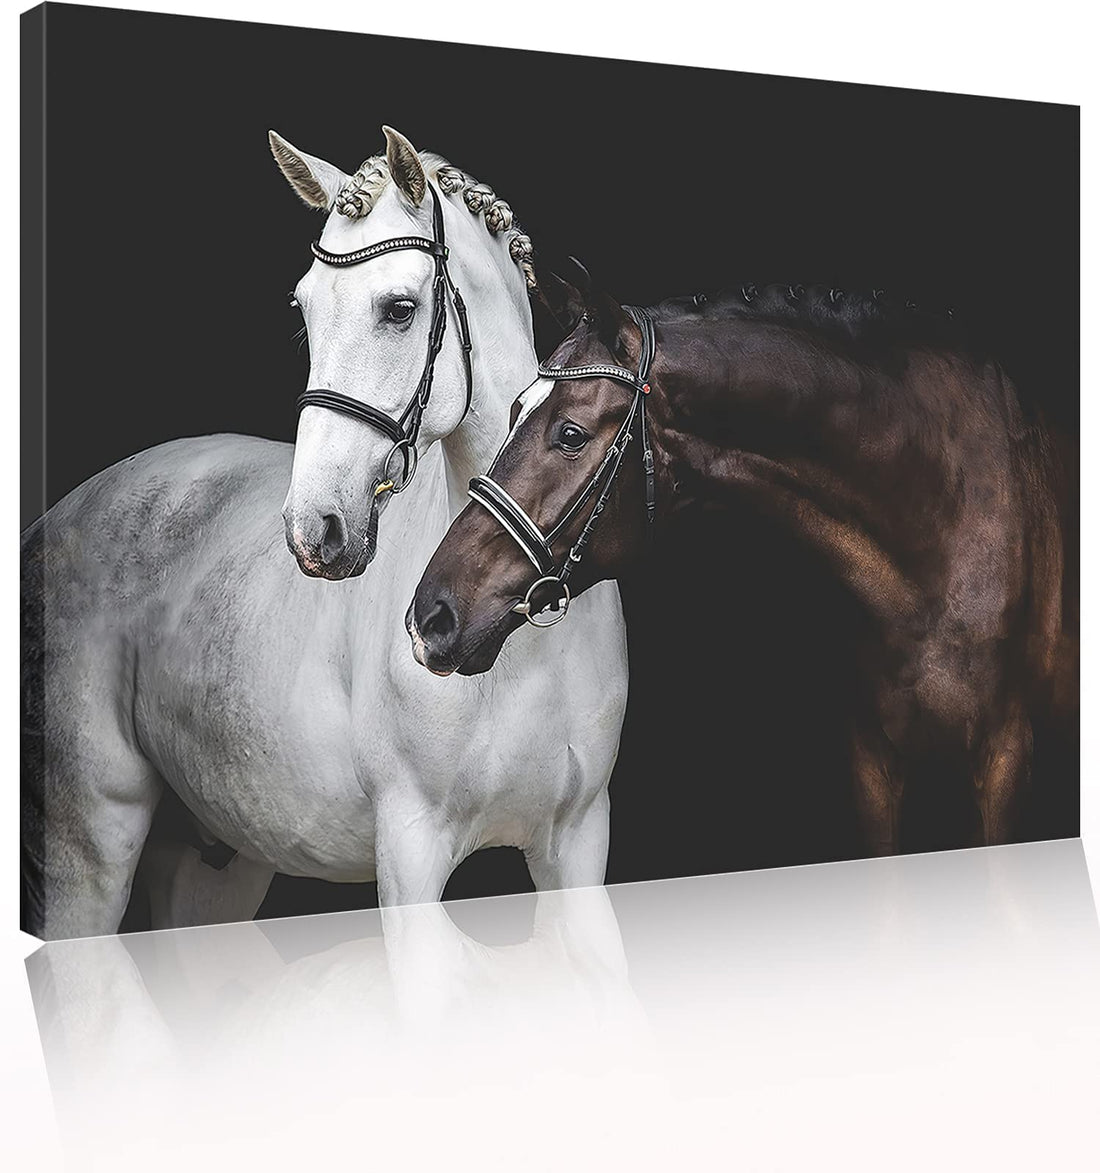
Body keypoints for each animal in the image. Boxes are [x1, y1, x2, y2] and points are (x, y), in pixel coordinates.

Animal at [20, 128, 628, 941]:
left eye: (399, 309)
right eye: (305, 310)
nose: (316, 527)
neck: (514, 636)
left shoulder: (579, 848)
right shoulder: (410, 855)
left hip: (213, 868)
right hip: (89, 845)